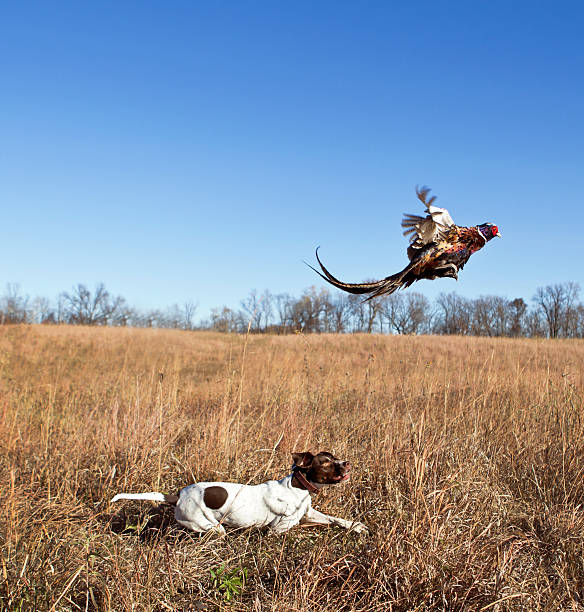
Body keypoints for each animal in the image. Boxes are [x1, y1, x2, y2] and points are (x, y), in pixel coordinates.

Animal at [110, 452, 368, 532]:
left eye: (334, 457)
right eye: (325, 462)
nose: (347, 463)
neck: (298, 488)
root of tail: (180, 494)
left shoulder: (309, 513)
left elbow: (335, 519)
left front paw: (356, 526)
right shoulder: (280, 529)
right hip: (211, 527)